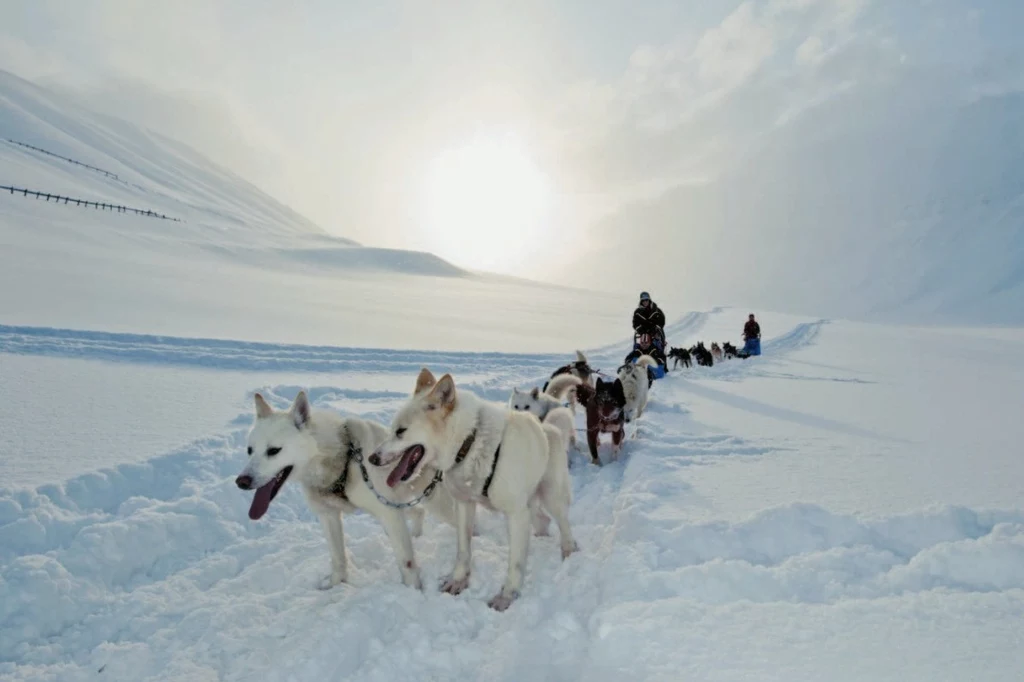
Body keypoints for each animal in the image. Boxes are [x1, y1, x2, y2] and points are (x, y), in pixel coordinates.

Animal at [368, 366, 577, 610]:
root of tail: (550, 428)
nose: (372, 458)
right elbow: (463, 549)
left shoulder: (516, 513)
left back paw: (569, 551)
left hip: (551, 497)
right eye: (392, 429)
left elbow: (515, 564)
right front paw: (458, 581)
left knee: (564, 525)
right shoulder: (464, 504)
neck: (470, 442)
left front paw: (507, 596)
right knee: (542, 520)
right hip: (530, 505)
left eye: (401, 431)